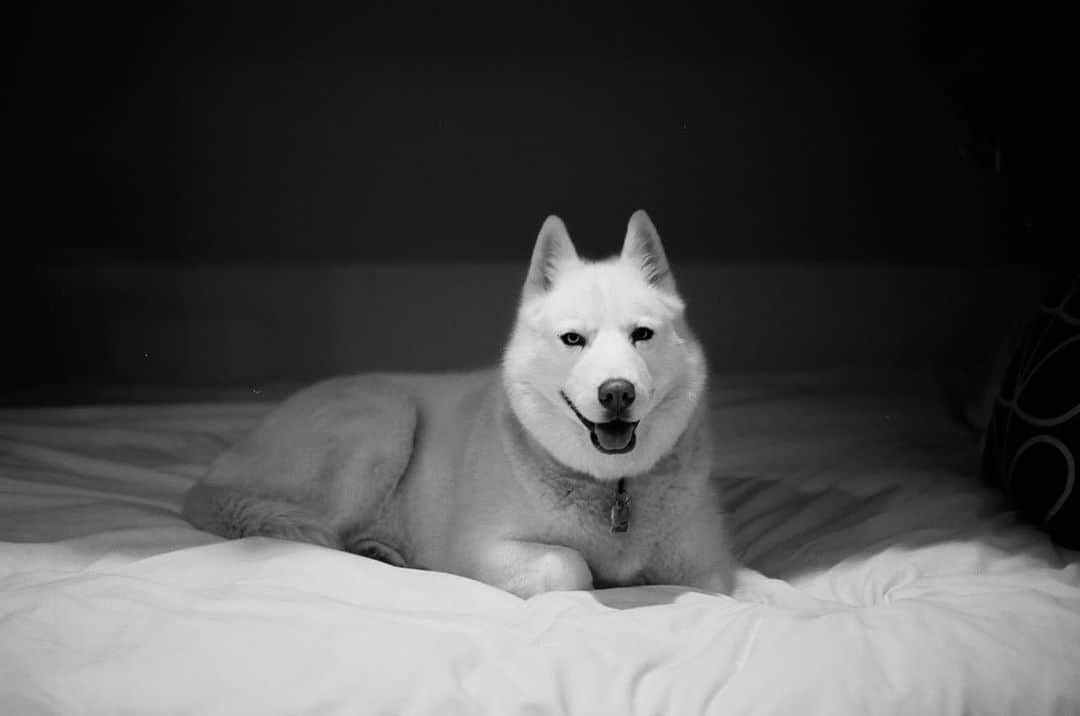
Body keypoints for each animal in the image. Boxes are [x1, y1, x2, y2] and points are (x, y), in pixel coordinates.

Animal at [183, 211, 734, 600]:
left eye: (642, 335)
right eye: (573, 339)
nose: (617, 392)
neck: (613, 489)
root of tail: (207, 481)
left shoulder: (711, 566)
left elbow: (736, 589)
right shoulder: (478, 551)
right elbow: (571, 566)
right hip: (384, 423)